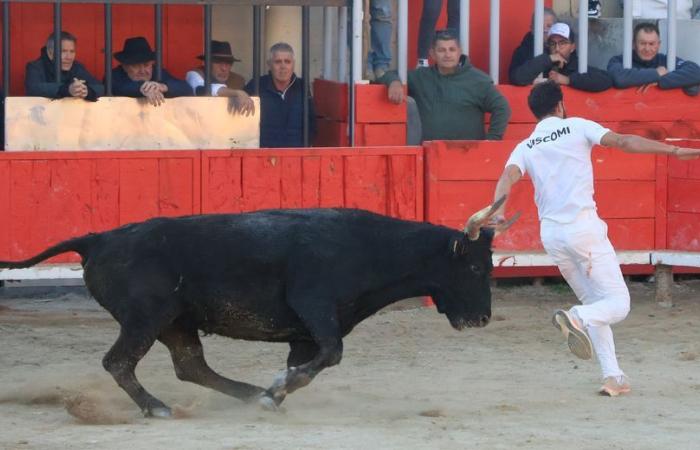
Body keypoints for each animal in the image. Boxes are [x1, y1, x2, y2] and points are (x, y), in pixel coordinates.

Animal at [0, 200, 516, 418]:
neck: (371, 249)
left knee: (191, 366)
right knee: (118, 361)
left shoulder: (304, 332)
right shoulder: (316, 308)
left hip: (176, 323)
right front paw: (275, 391)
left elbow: (313, 362)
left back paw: (247, 394)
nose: (483, 318)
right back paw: (158, 407)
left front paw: (274, 393)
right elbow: (332, 354)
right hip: (145, 318)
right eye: (474, 267)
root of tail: (98, 238)